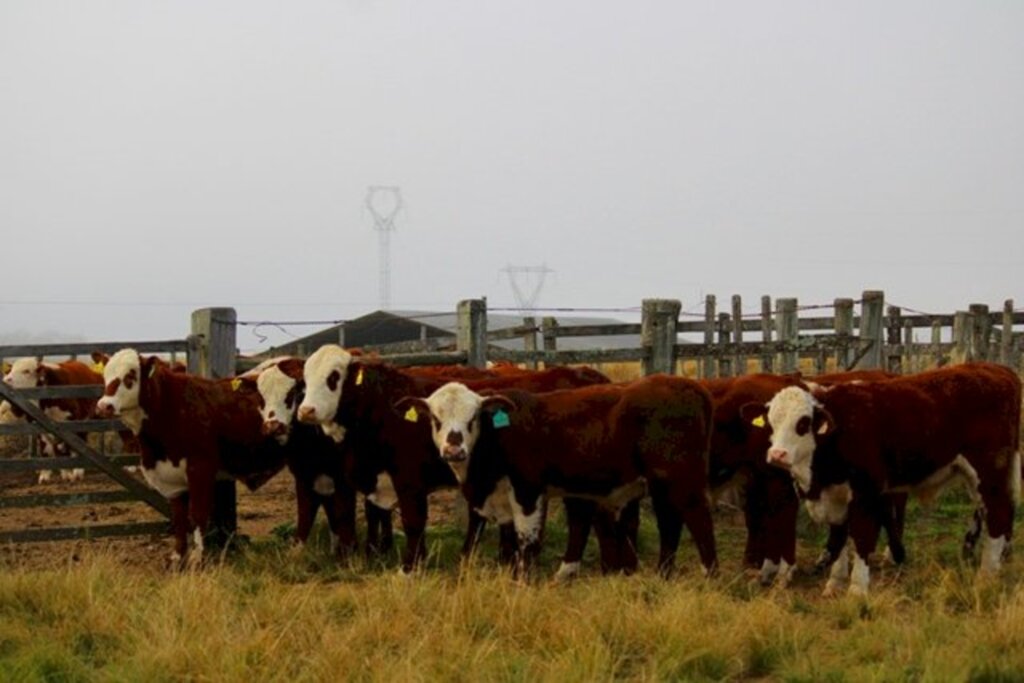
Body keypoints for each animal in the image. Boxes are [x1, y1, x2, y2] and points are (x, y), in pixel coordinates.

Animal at [96, 348, 288, 565]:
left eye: (130, 376)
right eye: (105, 375)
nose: (103, 406)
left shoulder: (200, 469)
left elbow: (197, 514)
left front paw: (197, 558)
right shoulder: (171, 480)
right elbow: (179, 519)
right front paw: (178, 556)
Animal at [395, 374, 716, 577]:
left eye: (473, 417)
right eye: (435, 419)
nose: (453, 449)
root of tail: (688, 385)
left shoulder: (528, 491)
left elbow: (527, 541)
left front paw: (522, 582)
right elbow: (499, 541)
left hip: (682, 480)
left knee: (699, 519)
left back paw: (710, 575)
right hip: (661, 484)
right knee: (670, 524)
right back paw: (663, 575)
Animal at [741, 360, 1019, 593]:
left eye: (803, 423)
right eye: (771, 423)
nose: (777, 454)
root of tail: (996, 369)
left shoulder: (866, 493)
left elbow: (861, 537)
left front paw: (856, 590)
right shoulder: (835, 494)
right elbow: (838, 536)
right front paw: (834, 582)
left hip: (989, 472)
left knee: (998, 514)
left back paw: (986, 577)